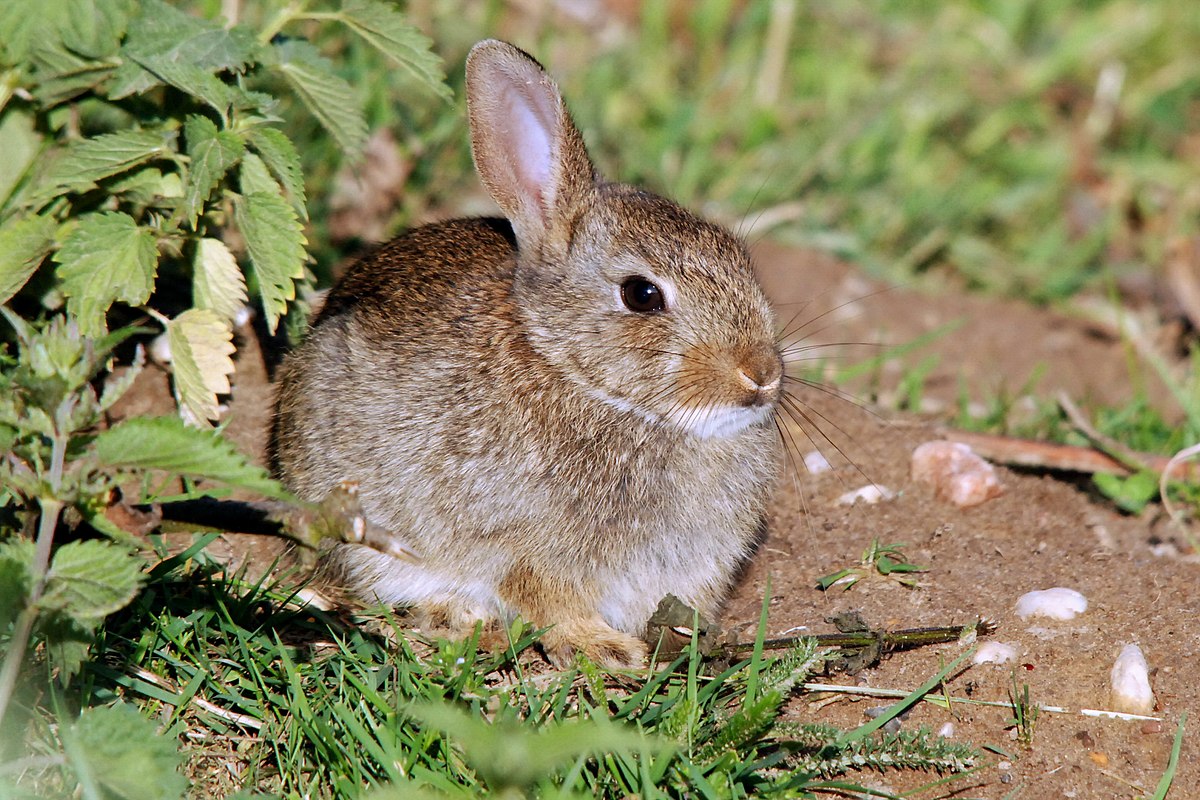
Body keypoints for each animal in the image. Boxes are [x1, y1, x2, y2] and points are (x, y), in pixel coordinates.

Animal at [267, 38, 782, 671]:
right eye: (641, 294)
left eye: (741, 259)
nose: (761, 375)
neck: (579, 376)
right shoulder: (528, 549)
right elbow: (547, 597)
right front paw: (604, 648)